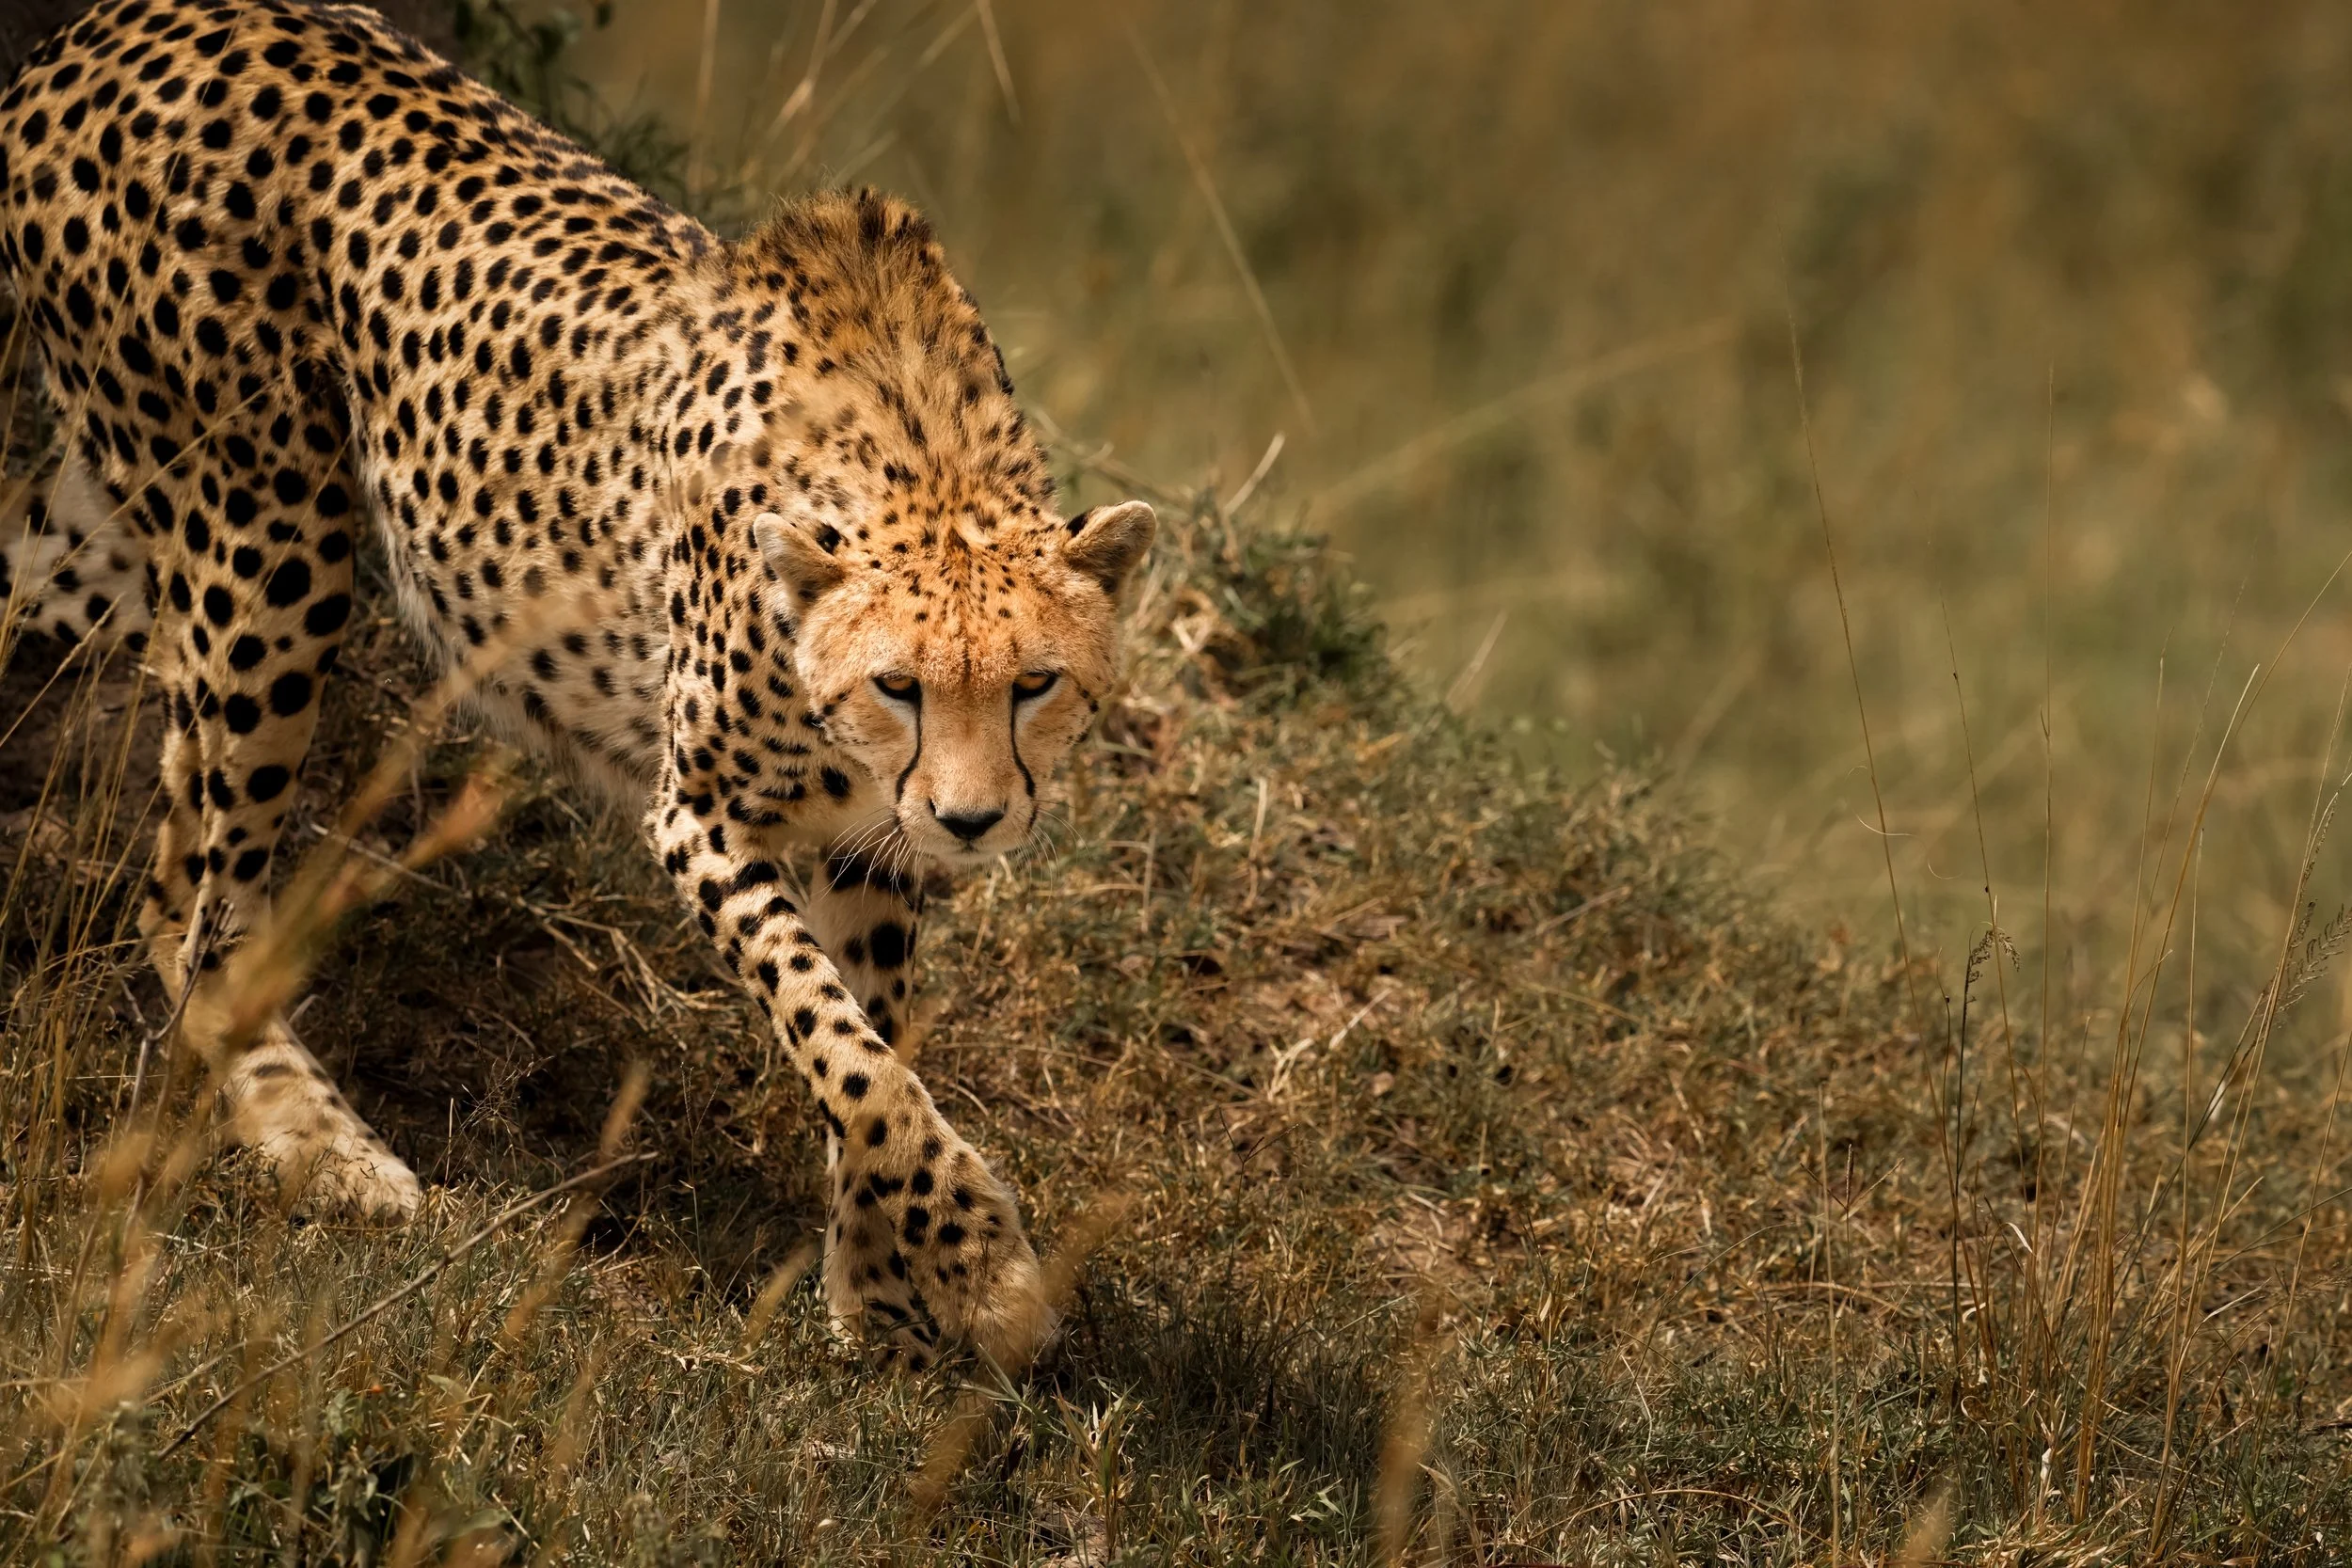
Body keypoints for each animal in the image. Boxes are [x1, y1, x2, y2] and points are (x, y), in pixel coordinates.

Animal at [0, 0, 1158, 1370]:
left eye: (1036, 682)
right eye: (899, 685)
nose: (973, 820)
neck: (919, 460)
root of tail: (119, 23)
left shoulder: (868, 844)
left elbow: (866, 1042)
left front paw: (876, 1280)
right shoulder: (702, 815)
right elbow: (843, 1041)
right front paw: (981, 1266)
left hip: (118, 526)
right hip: (266, 530)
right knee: (188, 892)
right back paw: (324, 1146)